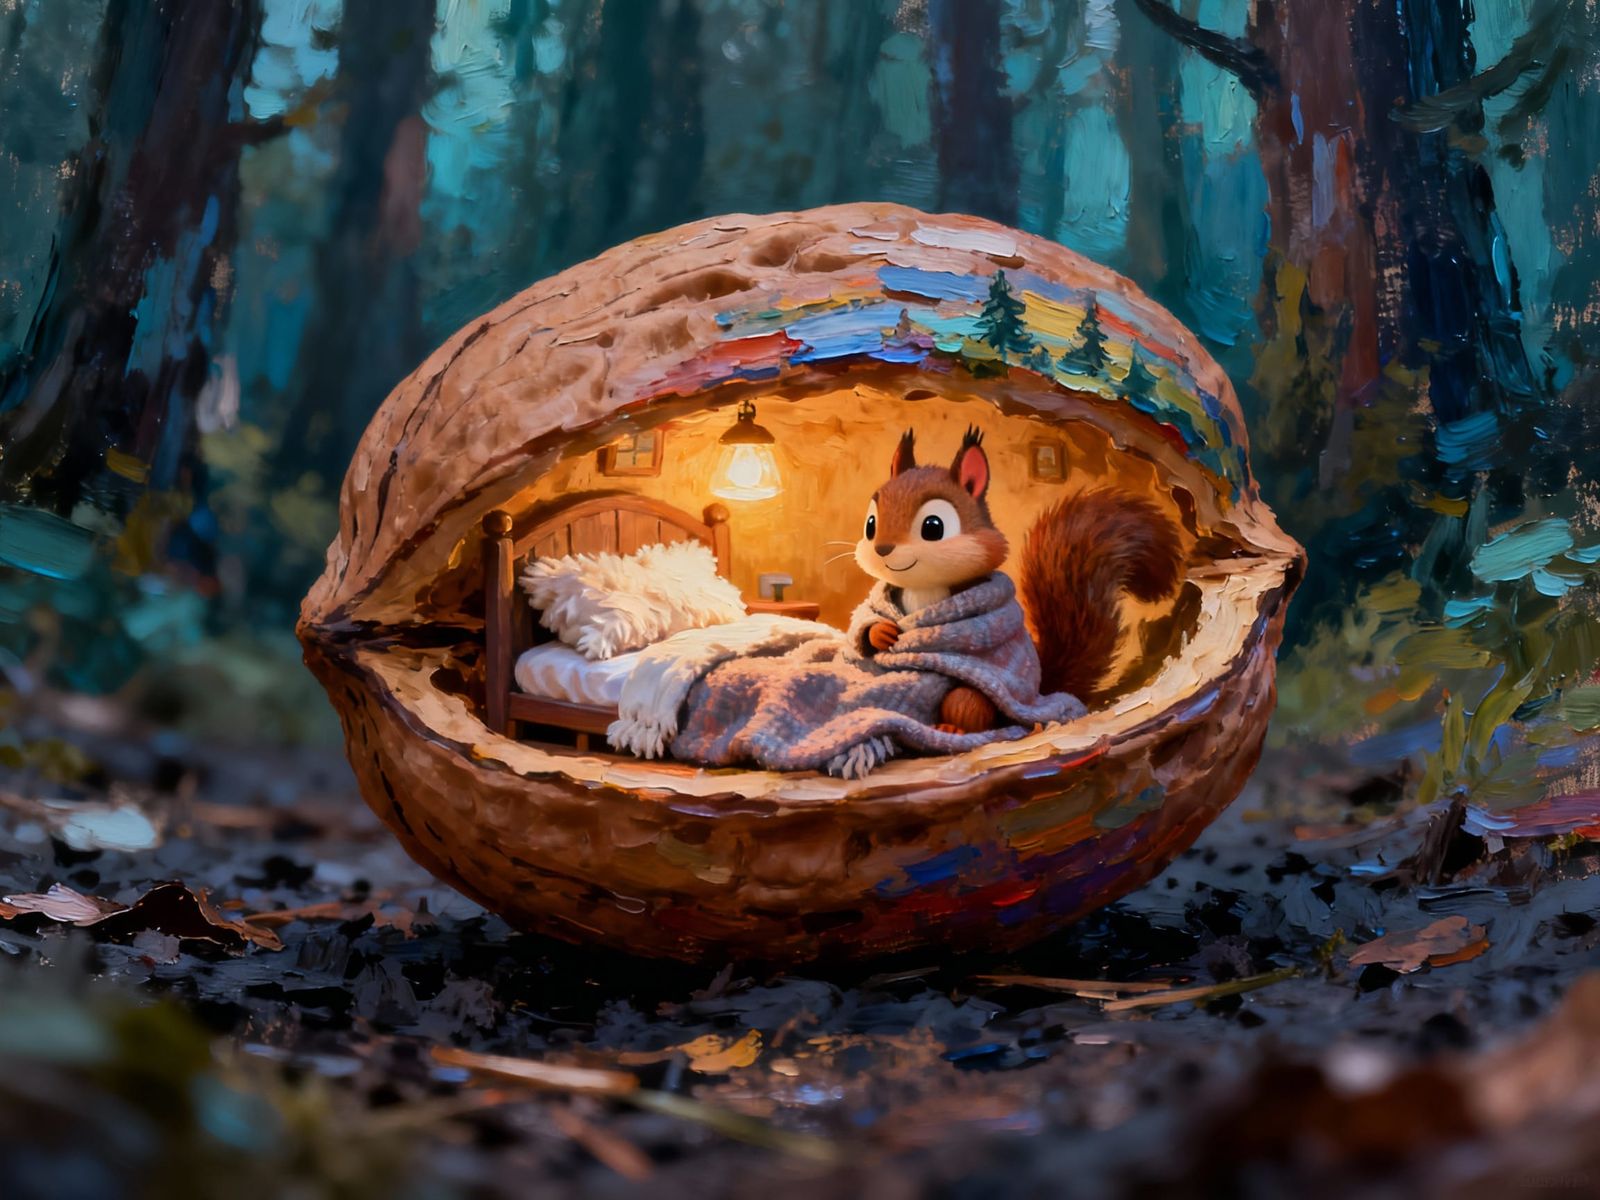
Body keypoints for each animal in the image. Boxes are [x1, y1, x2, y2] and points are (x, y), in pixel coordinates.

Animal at [853, 425, 1184, 734]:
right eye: (870, 524)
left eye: (933, 527)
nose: (882, 548)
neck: (923, 588)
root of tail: (1040, 692)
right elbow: (870, 619)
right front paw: (880, 632)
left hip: (975, 698)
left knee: (970, 705)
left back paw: (953, 728)